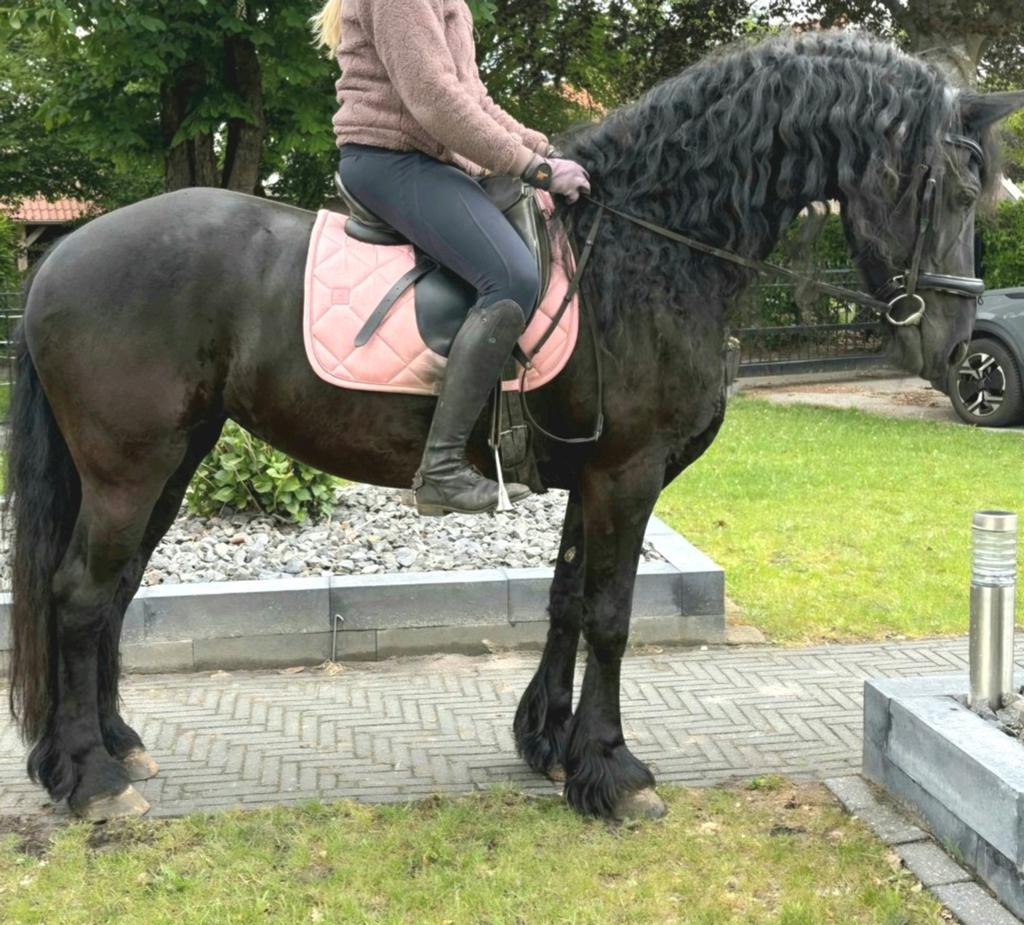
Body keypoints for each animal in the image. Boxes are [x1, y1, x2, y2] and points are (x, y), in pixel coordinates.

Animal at [6, 30, 1022, 822]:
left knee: (111, 593)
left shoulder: (592, 474)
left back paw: (111, 746)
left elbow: (567, 600)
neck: (647, 252)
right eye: (942, 183)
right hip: (131, 466)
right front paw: (613, 771)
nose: (954, 344)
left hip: (172, 459)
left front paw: (551, 743)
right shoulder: (628, 472)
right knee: (81, 594)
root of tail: (65, 253)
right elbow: (611, 615)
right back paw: (90, 778)